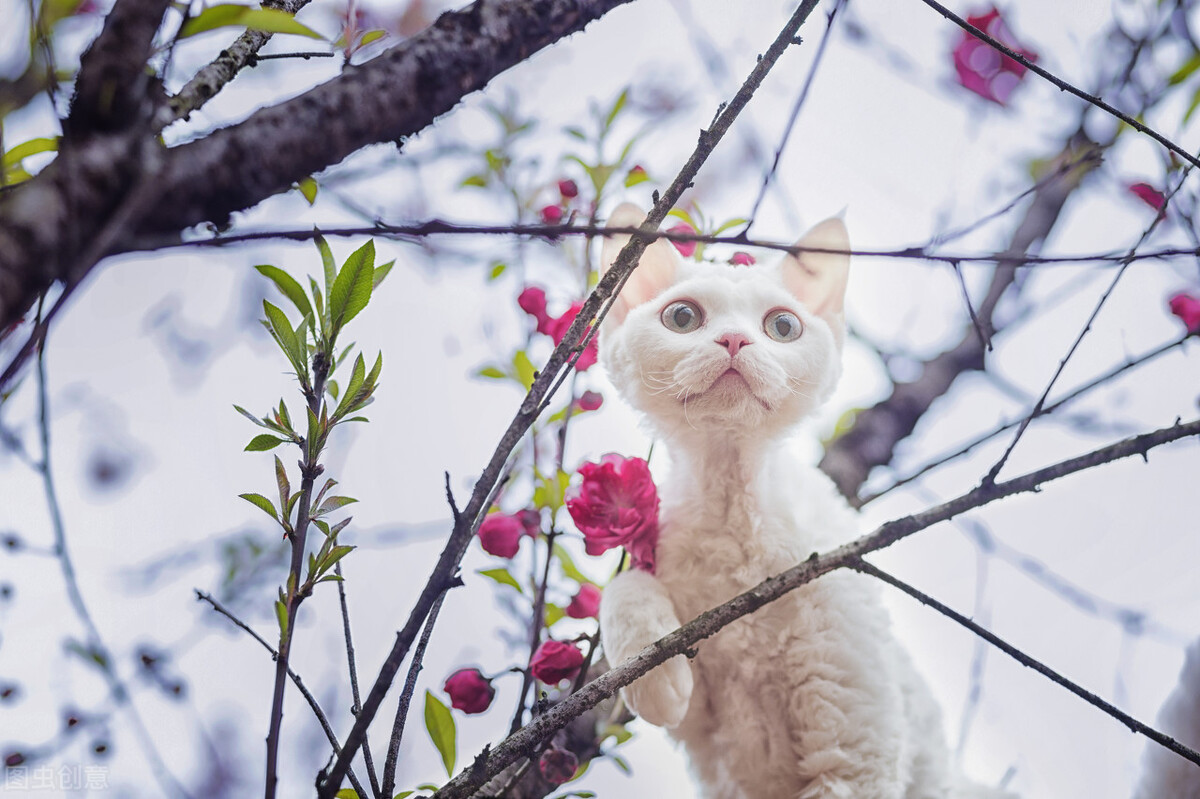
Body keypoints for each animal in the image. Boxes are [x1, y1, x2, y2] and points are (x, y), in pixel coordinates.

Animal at [597, 203, 1003, 796]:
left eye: (782, 326)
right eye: (683, 317)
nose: (734, 341)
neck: (732, 508)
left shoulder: (856, 740)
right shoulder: (706, 729)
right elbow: (622, 584)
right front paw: (655, 678)